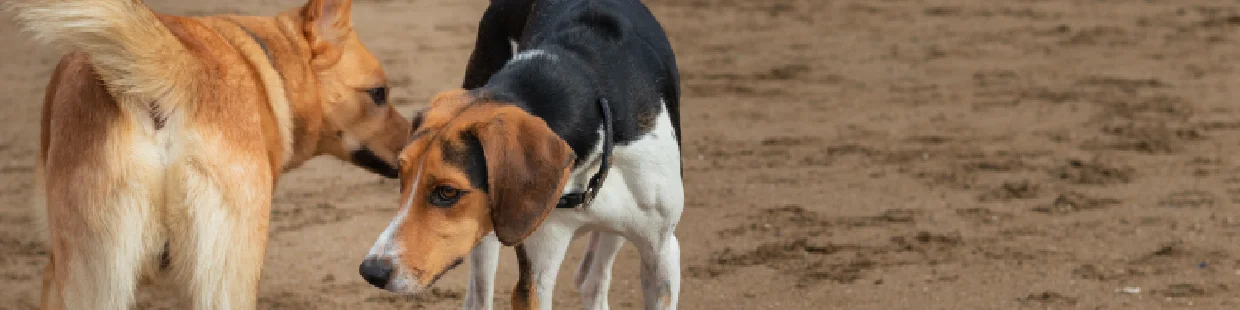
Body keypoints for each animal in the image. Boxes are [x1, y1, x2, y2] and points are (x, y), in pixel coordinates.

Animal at [359, 0, 689, 310]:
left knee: (591, 280)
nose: (371, 271)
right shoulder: (535, 271)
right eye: (401, 177)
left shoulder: (662, 253)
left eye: (447, 192)